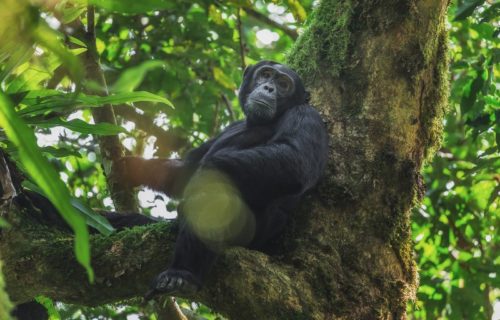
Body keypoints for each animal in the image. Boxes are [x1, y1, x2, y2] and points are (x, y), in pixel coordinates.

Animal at [111, 60, 328, 298]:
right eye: (266, 74)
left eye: (283, 84)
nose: (269, 88)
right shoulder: (231, 126)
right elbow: (187, 170)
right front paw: (132, 168)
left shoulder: (307, 116)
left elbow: (294, 159)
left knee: (212, 197)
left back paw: (181, 275)